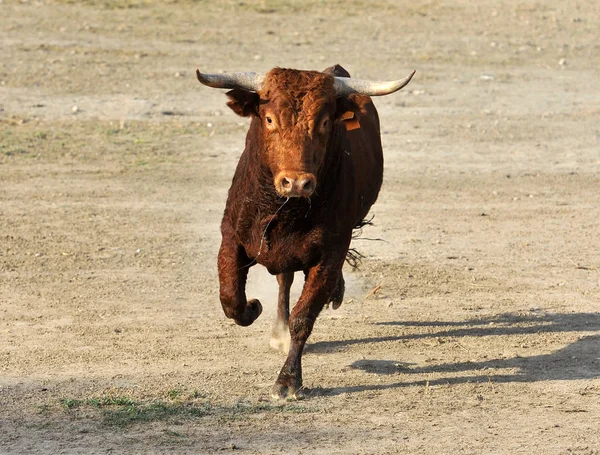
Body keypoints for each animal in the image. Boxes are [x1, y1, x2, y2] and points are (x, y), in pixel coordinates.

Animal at [197, 64, 412, 400]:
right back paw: (278, 329)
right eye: (269, 119)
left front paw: (288, 381)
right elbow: (231, 299)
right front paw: (254, 307)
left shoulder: (330, 253)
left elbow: (304, 315)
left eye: (324, 122)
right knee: (283, 281)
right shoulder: (231, 238)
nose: (296, 183)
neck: (286, 210)